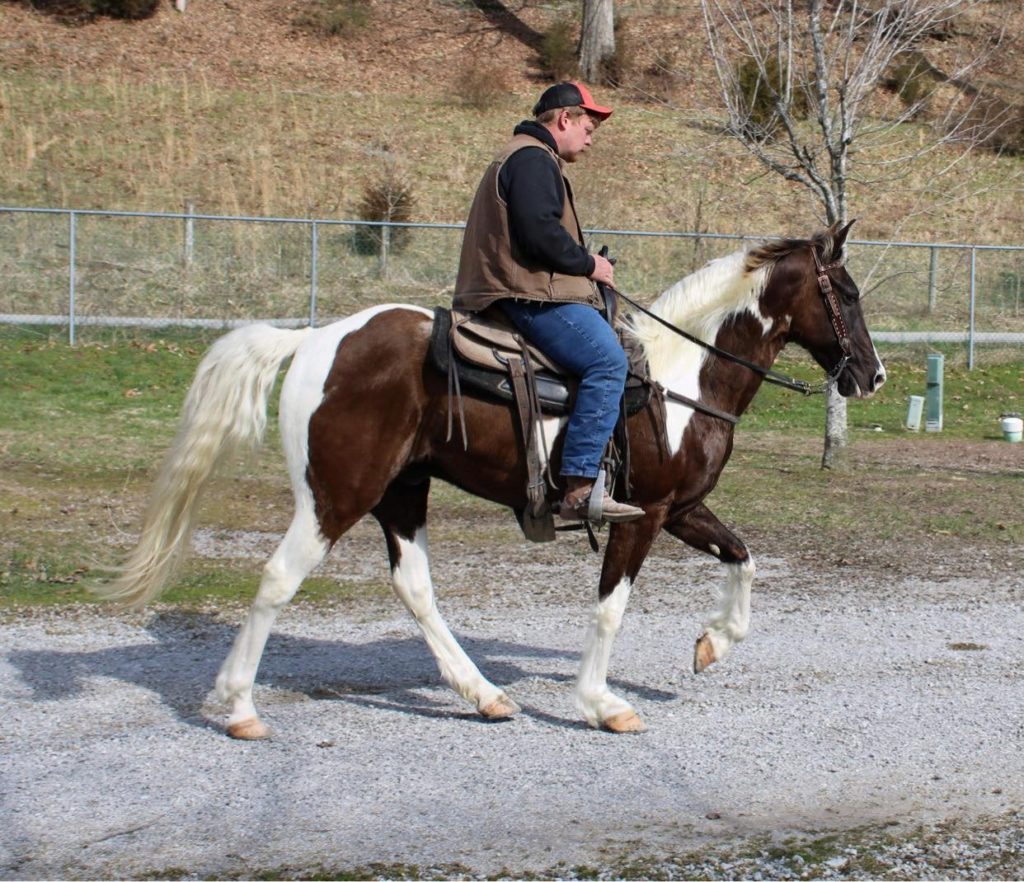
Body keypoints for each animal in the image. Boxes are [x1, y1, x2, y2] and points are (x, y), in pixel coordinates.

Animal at [98, 221, 885, 738]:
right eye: (845, 292)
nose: (873, 376)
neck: (681, 379)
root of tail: (318, 339)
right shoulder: (644, 514)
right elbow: (610, 608)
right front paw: (601, 703)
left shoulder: (681, 507)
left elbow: (744, 559)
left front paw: (714, 643)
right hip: (335, 497)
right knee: (277, 580)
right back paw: (238, 707)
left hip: (402, 493)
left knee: (414, 587)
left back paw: (483, 694)